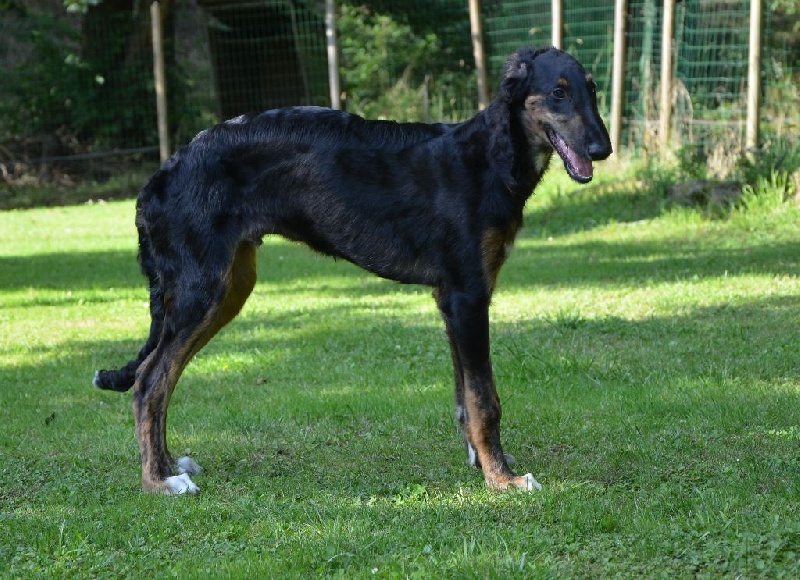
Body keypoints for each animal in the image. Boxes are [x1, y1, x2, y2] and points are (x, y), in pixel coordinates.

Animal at [94, 47, 611, 495]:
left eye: (591, 88)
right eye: (558, 91)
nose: (602, 149)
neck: (489, 157)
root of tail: (160, 178)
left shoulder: (452, 299)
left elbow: (465, 398)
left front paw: (480, 464)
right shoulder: (468, 295)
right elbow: (485, 400)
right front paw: (503, 479)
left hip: (228, 289)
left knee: (160, 381)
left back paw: (167, 466)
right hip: (201, 290)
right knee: (148, 383)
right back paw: (158, 482)